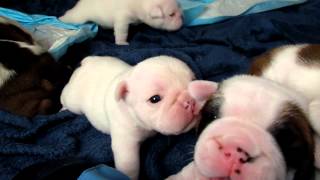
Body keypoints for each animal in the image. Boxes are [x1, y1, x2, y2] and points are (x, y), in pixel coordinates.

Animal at [60, 54, 215, 179]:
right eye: (155, 99)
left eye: (194, 82)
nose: (190, 100)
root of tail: (87, 63)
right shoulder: (125, 142)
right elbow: (129, 165)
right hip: (73, 100)